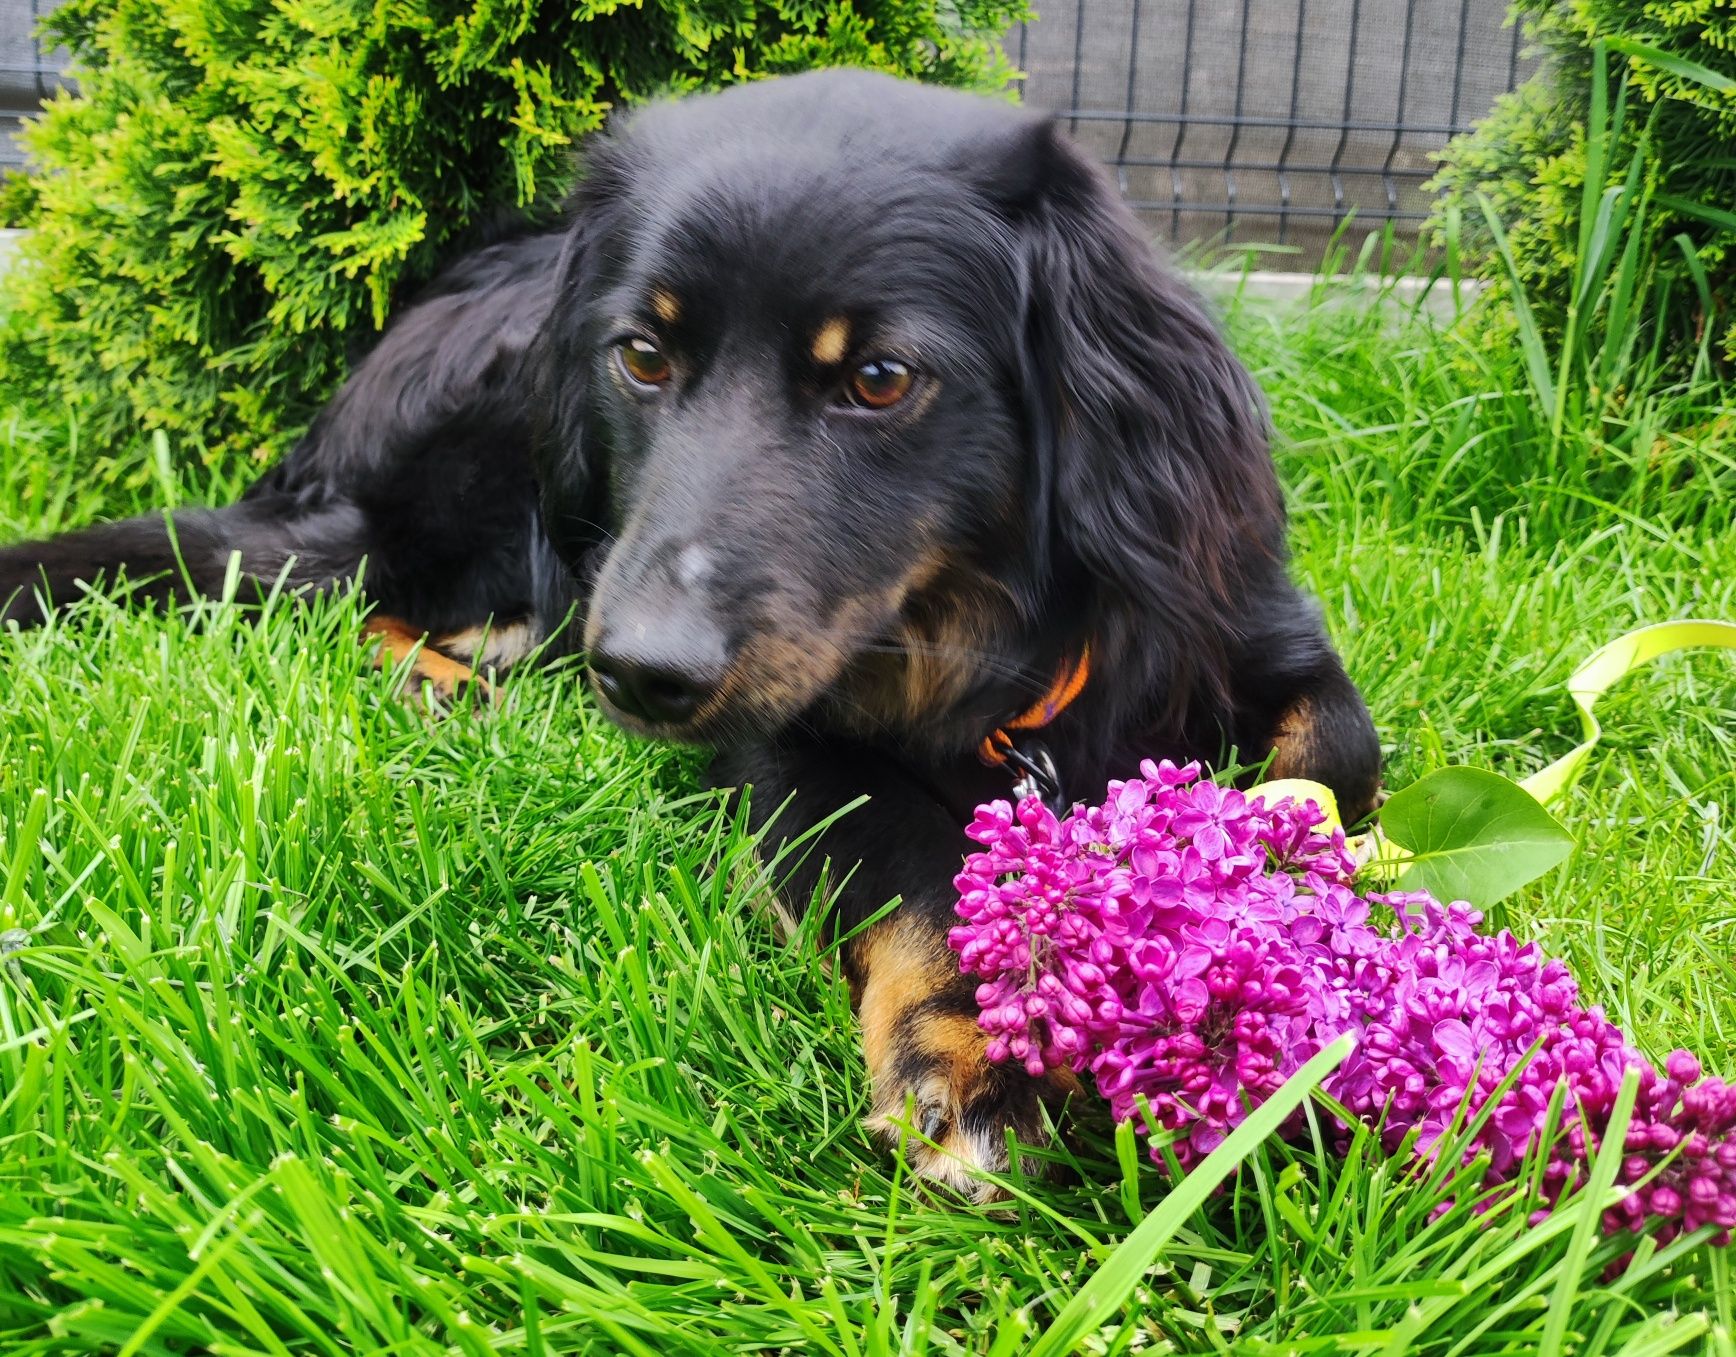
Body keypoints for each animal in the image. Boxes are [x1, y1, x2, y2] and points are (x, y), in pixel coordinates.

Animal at [3, 71, 1381, 1200]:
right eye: (644, 356)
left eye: (878, 378)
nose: (641, 675)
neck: (984, 645)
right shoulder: (792, 752)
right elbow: (922, 868)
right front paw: (974, 1049)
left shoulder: (1247, 621)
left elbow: (1336, 756)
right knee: (324, 588)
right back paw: (446, 682)